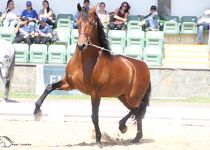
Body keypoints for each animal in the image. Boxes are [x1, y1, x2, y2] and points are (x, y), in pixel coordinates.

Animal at [33, 4, 150, 144]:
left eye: (92, 22)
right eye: (77, 22)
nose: (81, 45)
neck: (84, 62)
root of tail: (144, 66)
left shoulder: (95, 93)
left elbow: (94, 116)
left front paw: (98, 140)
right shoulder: (70, 84)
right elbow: (49, 87)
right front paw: (37, 112)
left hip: (133, 96)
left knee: (138, 108)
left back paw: (123, 127)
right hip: (122, 96)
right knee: (137, 111)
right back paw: (136, 137)